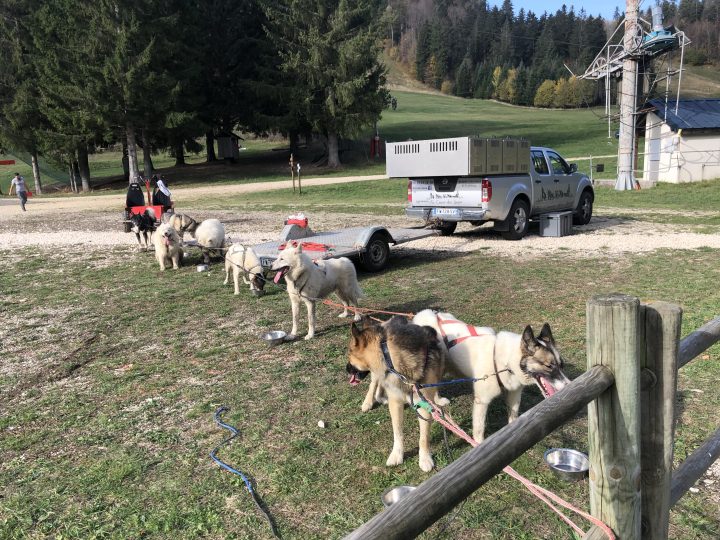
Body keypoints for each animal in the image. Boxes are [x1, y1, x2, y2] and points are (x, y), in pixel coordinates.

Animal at [346, 316, 447, 472]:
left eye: (349, 355)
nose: (346, 369)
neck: (388, 354)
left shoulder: (423, 402)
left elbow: (423, 437)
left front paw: (424, 458)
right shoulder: (395, 403)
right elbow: (397, 432)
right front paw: (397, 454)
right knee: (374, 383)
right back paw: (369, 401)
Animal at [412, 310, 570, 442]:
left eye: (561, 365)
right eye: (549, 366)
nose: (569, 386)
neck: (506, 363)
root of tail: (424, 314)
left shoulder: (514, 395)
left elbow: (513, 417)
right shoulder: (482, 402)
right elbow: (479, 430)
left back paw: (438, 400)